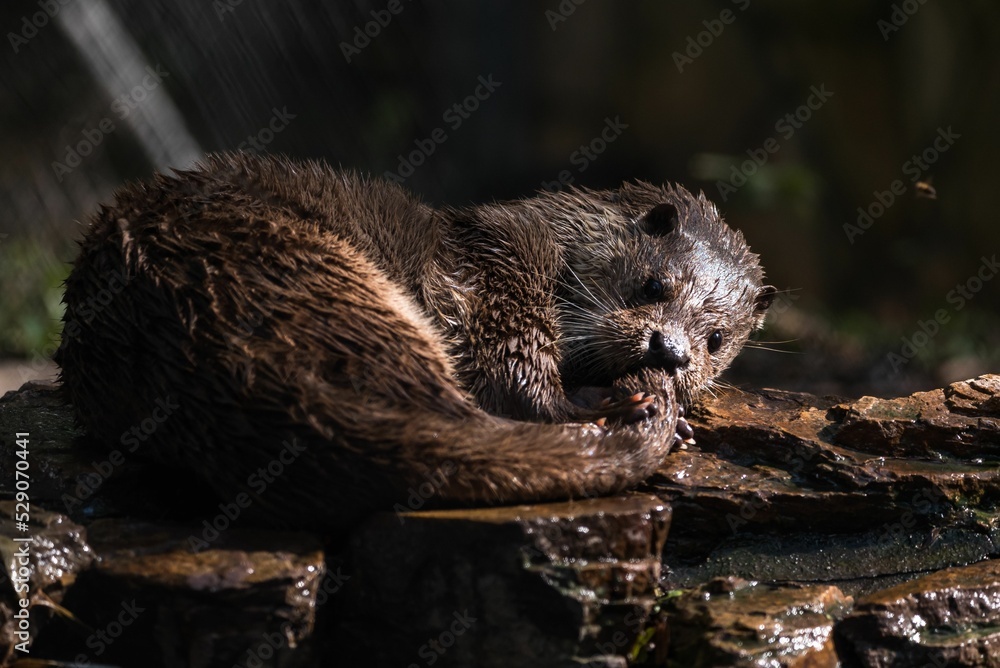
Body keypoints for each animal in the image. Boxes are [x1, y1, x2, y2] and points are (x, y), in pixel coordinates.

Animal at [54, 154, 772, 528]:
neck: (554, 244)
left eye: (715, 339)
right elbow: (511, 365)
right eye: (654, 284)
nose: (669, 352)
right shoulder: (496, 275)